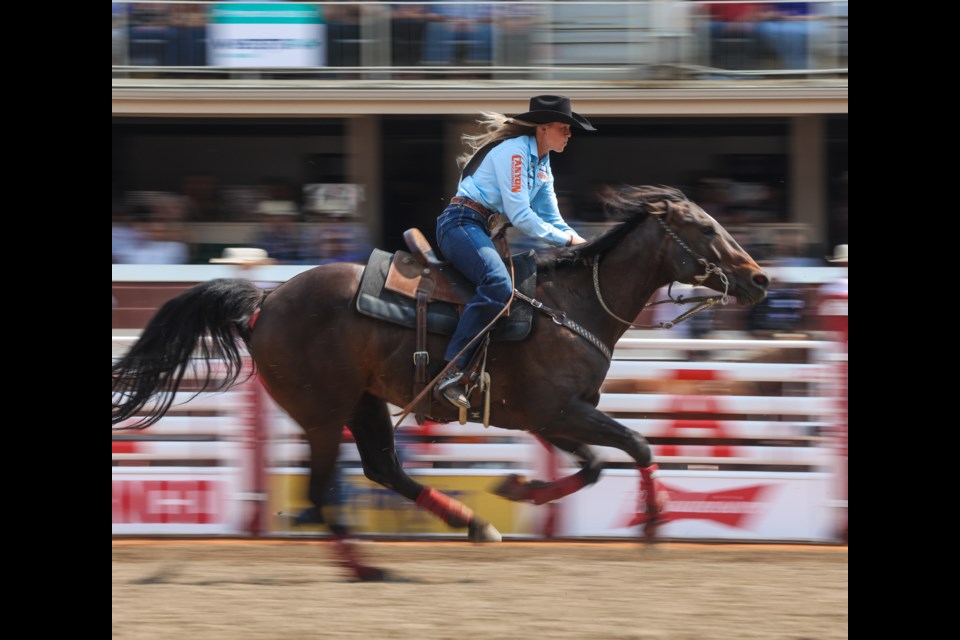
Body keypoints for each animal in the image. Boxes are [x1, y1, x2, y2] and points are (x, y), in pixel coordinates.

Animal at [114, 185, 772, 580]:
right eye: (707, 229)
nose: (761, 280)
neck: (573, 304)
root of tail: (265, 301)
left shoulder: (552, 416)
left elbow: (592, 467)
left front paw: (520, 490)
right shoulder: (557, 412)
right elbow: (635, 445)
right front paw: (656, 523)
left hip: (365, 403)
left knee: (382, 469)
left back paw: (473, 524)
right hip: (323, 413)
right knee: (325, 491)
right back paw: (364, 566)